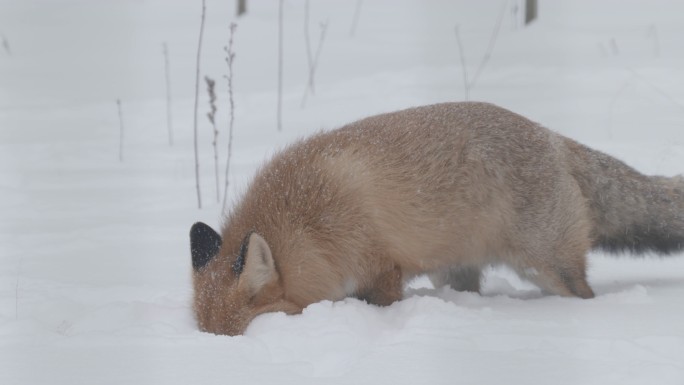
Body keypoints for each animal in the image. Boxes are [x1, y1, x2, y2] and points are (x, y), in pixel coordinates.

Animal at [188, 101, 684, 332]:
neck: (306, 224)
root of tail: (555, 138)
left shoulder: (381, 268)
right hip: (458, 272)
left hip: (549, 268)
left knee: (584, 295)